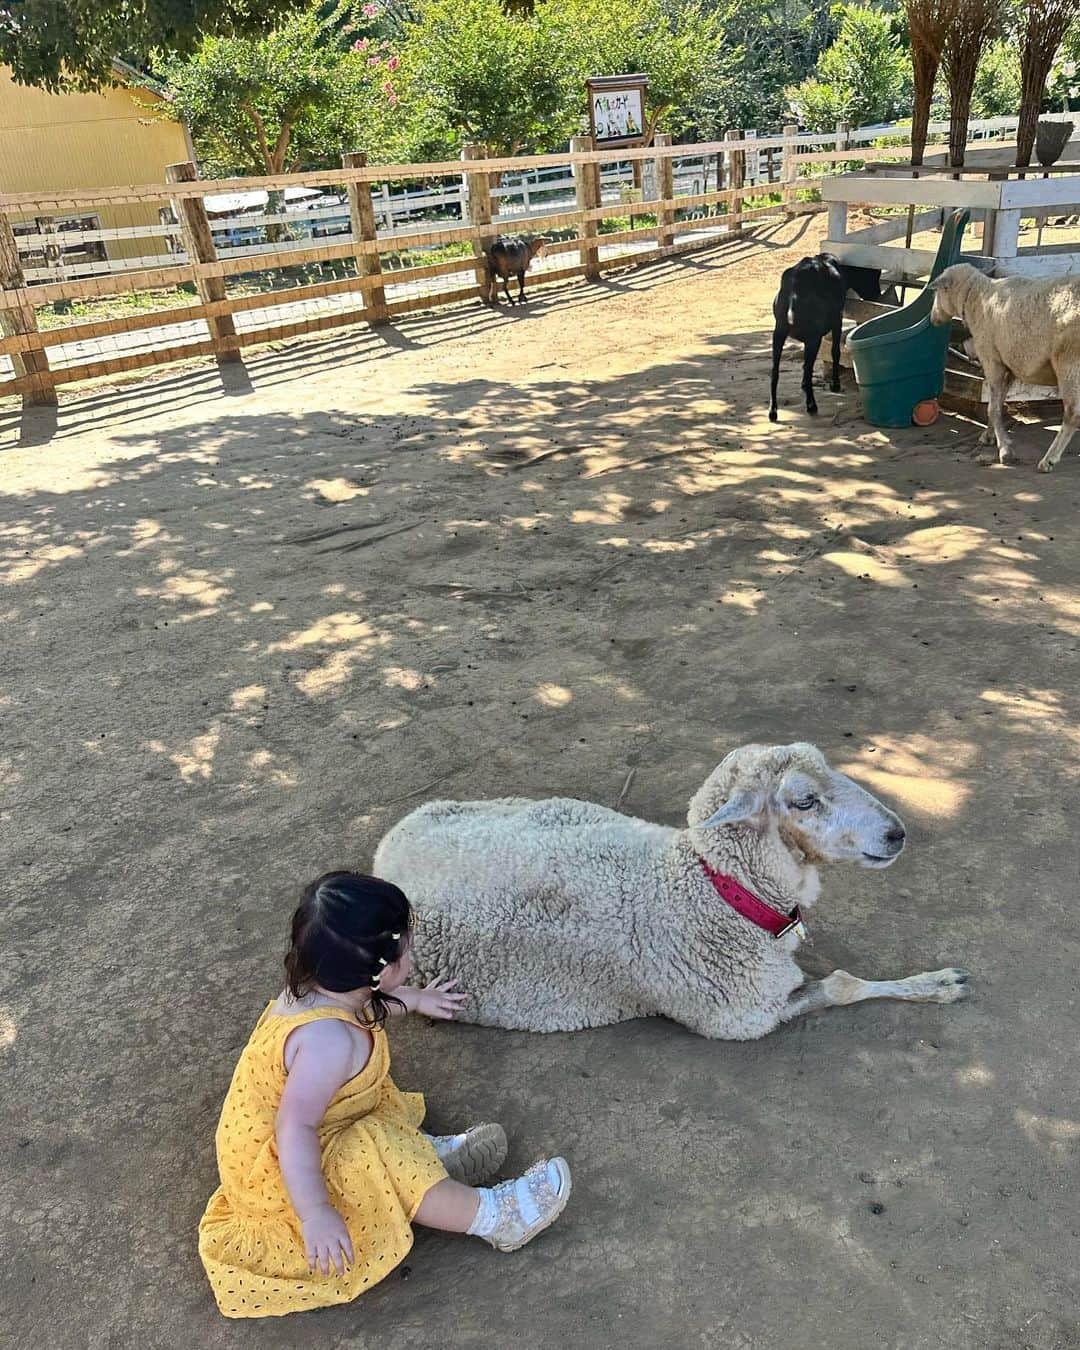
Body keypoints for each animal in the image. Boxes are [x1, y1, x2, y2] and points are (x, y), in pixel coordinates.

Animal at [372, 745, 972, 1036]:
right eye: (804, 801)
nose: (896, 833)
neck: (714, 890)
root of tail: (386, 852)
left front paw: (934, 980)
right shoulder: (744, 1016)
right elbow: (845, 985)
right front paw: (940, 985)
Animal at [761, 253, 880, 421]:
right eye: (873, 276)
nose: (877, 296)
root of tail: (794, 289)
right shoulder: (837, 320)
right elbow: (835, 352)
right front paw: (835, 384)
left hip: (778, 333)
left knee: (775, 371)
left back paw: (773, 411)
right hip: (813, 337)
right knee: (806, 369)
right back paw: (811, 406)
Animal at [928, 263, 1080, 475]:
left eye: (938, 292)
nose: (932, 318)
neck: (978, 297)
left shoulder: (991, 359)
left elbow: (992, 407)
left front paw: (1005, 450)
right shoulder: (1009, 366)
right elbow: (998, 403)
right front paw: (989, 436)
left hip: (1069, 362)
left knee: (1072, 413)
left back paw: (1048, 460)